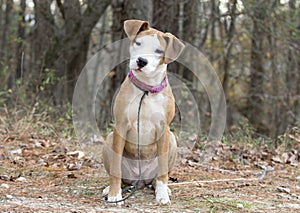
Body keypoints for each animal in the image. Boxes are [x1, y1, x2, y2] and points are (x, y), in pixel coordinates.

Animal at [102, 19, 184, 204]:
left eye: (159, 51)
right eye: (138, 43)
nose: (141, 61)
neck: (146, 90)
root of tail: (139, 180)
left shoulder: (163, 129)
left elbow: (162, 170)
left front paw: (162, 195)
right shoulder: (121, 126)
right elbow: (116, 169)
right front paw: (114, 194)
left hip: (172, 139)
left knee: (157, 177)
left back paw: (162, 188)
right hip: (110, 139)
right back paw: (110, 189)